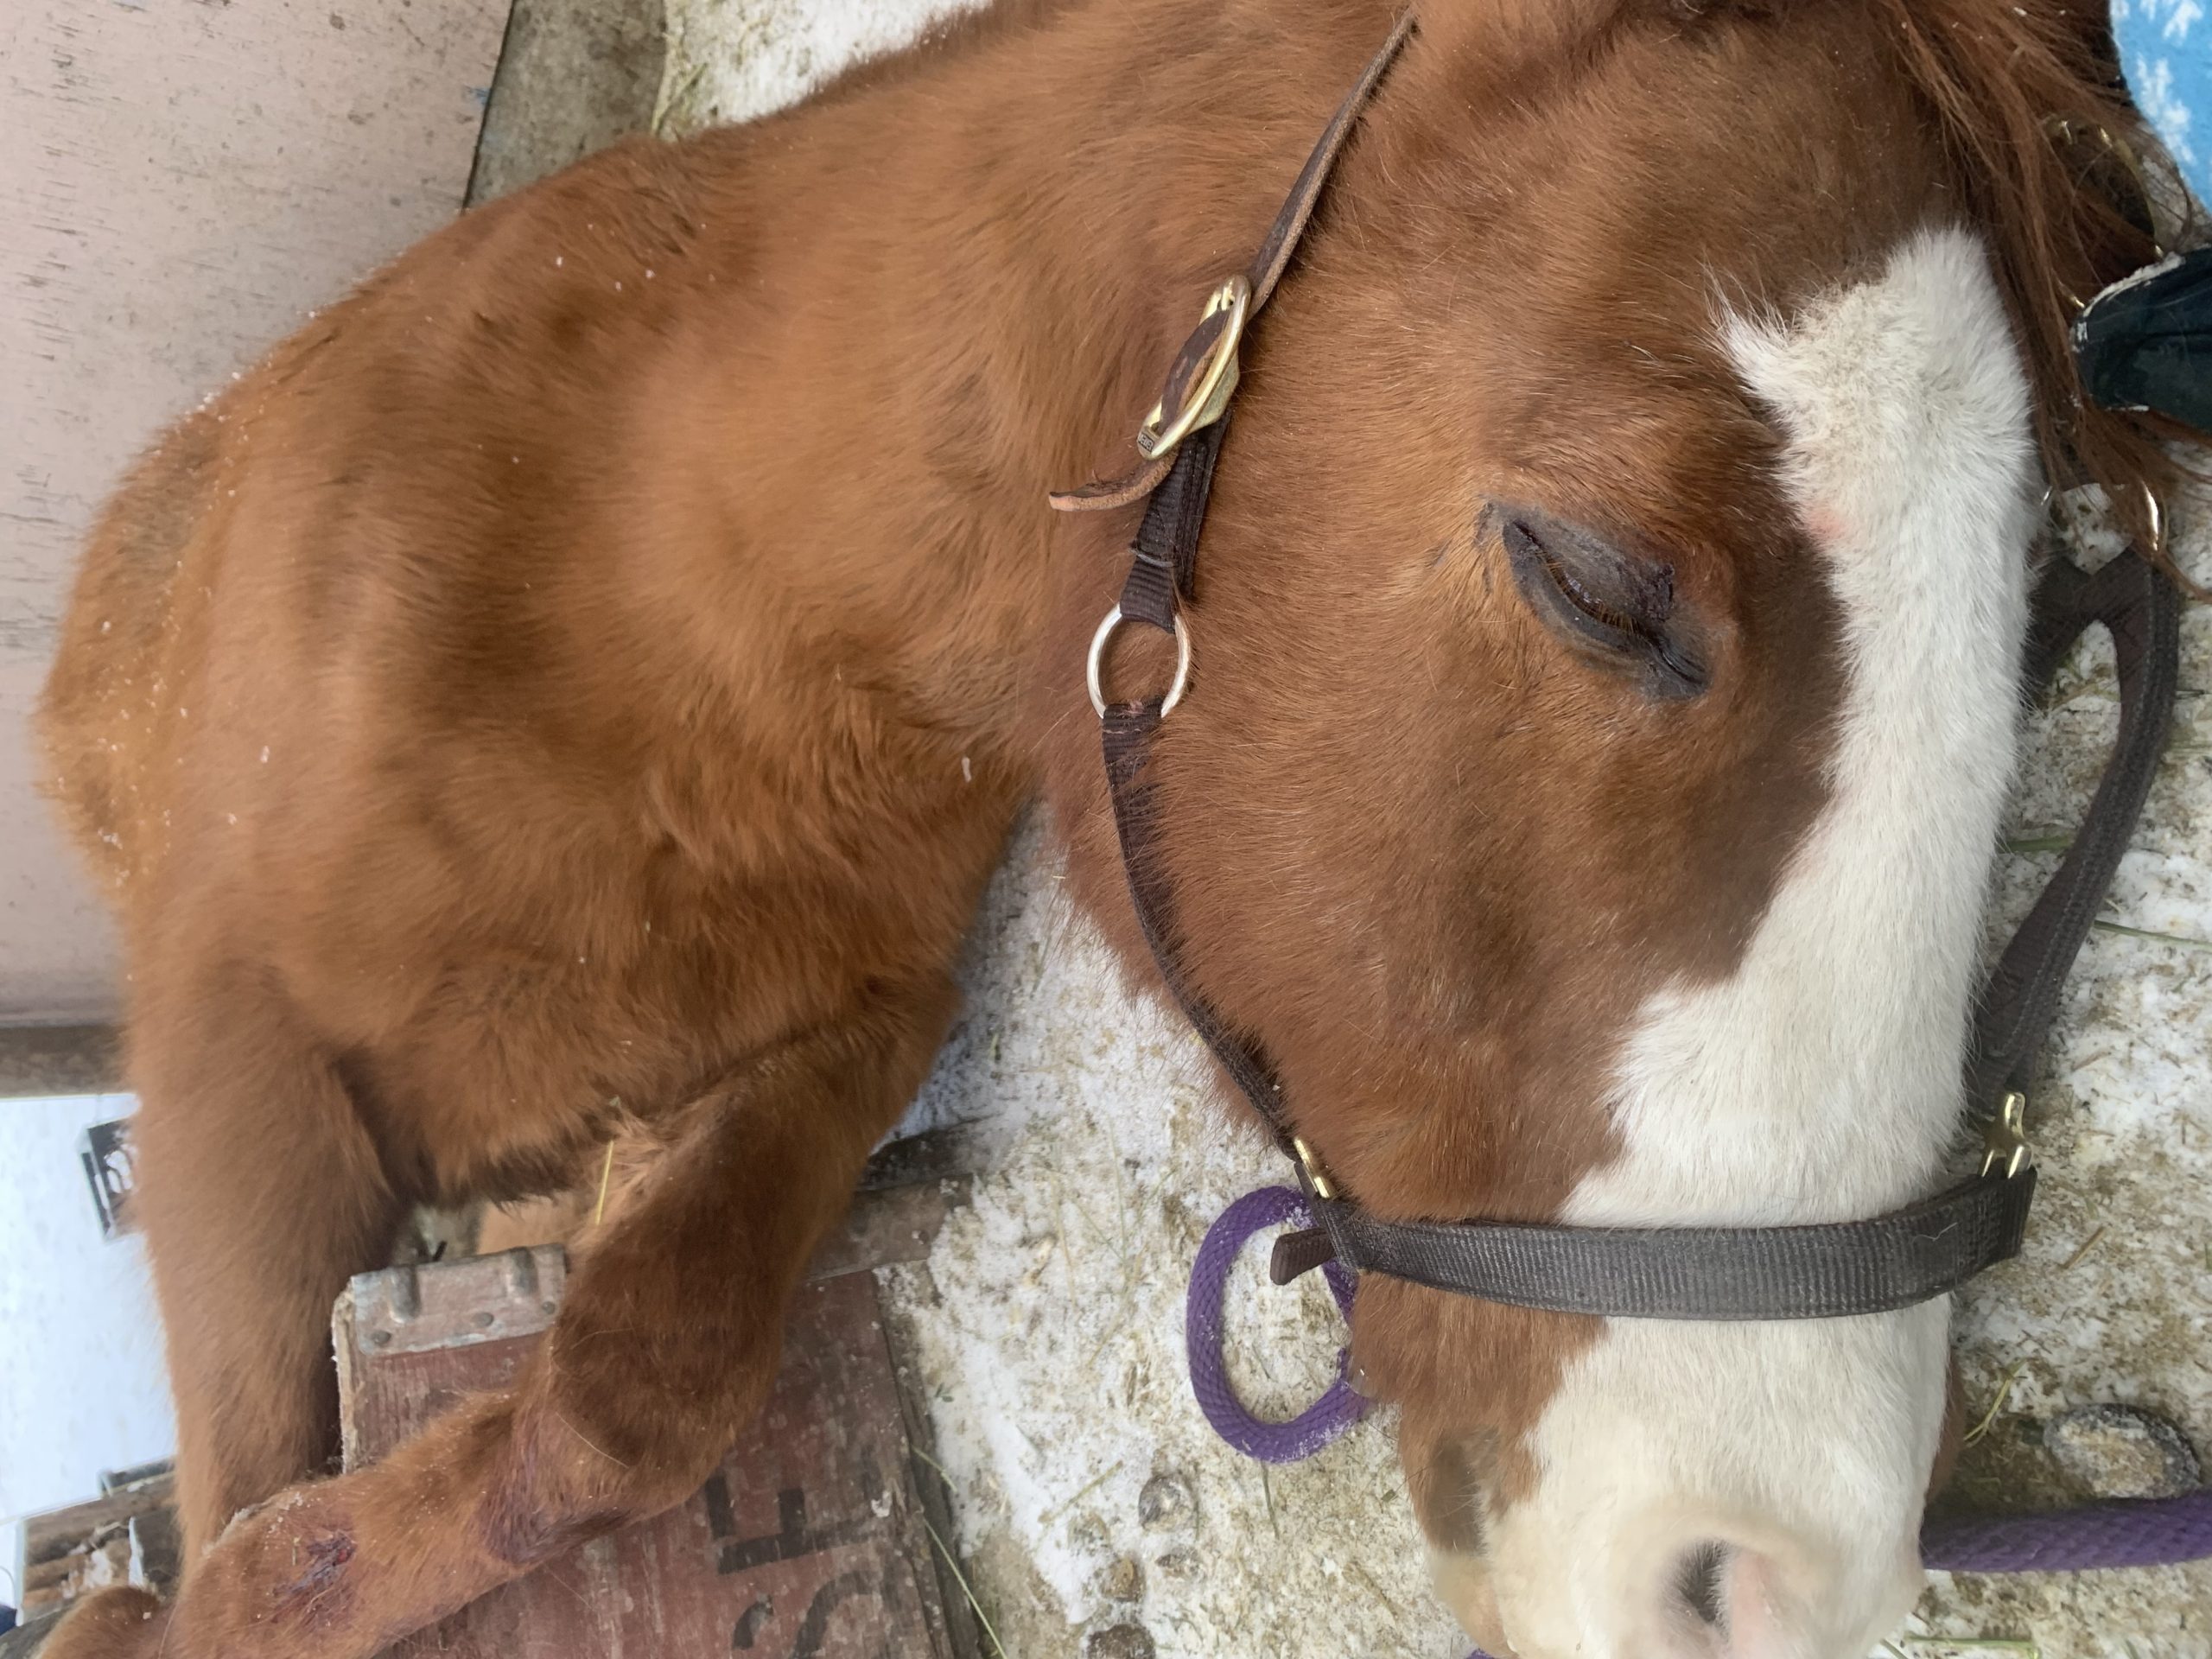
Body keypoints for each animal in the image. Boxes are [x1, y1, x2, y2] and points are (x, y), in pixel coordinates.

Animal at [31, 1, 2180, 1655]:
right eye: (1593, 584)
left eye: (2041, 630)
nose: (1772, 1567)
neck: (633, 590)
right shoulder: (223, 1077)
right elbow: (264, 1450)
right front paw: (171, 1604)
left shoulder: (852, 1027)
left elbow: (632, 1398)